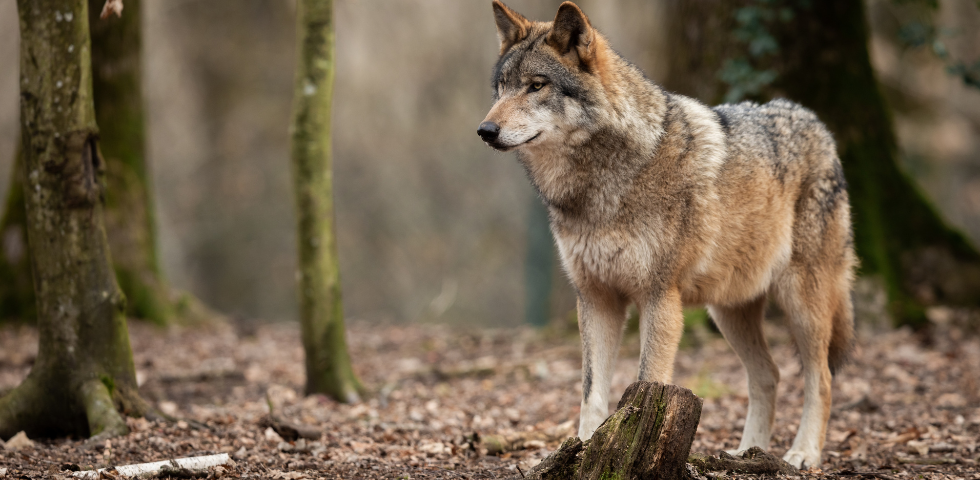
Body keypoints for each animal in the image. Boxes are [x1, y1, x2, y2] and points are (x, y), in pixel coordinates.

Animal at [478, 0, 852, 468]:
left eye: (536, 86)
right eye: (501, 88)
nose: (485, 131)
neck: (600, 186)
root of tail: (816, 122)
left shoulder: (659, 298)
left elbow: (645, 383)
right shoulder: (596, 298)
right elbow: (591, 394)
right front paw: (584, 451)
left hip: (802, 303)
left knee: (822, 379)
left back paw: (802, 454)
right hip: (728, 311)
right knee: (769, 374)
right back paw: (747, 452)